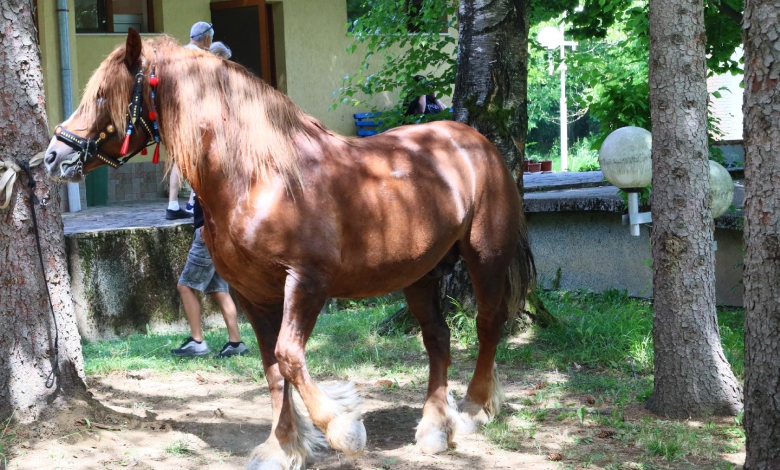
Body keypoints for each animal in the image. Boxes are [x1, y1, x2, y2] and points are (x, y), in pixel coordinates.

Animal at [44, 31, 536, 468]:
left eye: (103, 95)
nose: (52, 156)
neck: (261, 177)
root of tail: (476, 143)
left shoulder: (306, 282)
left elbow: (289, 356)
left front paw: (343, 429)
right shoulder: (251, 294)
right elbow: (272, 368)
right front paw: (283, 447)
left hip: (485, 259)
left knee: (488, 324)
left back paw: (471, 410)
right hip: (419, 274)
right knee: (437, 338)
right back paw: (434, 428)